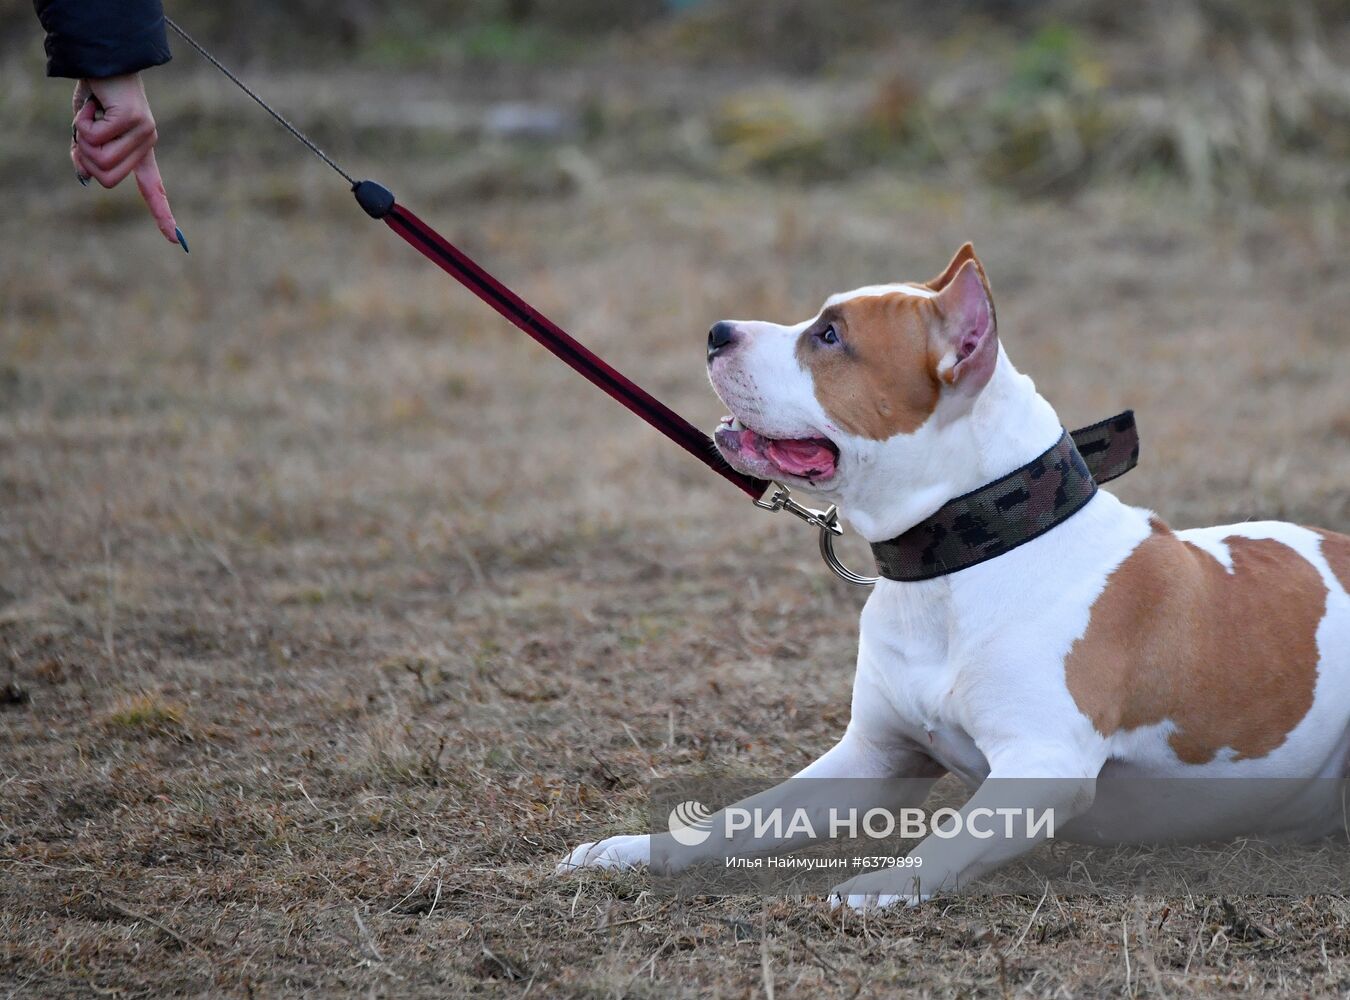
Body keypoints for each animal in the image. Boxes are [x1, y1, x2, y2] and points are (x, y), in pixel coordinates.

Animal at [556, 241, 1350, 906]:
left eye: (830, 336)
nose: (717, 331)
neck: (961, 556)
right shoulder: (874, 759)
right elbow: (740, 817)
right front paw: (635, 849)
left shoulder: (1041, 765)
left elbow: (949, 838)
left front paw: (878, 885)